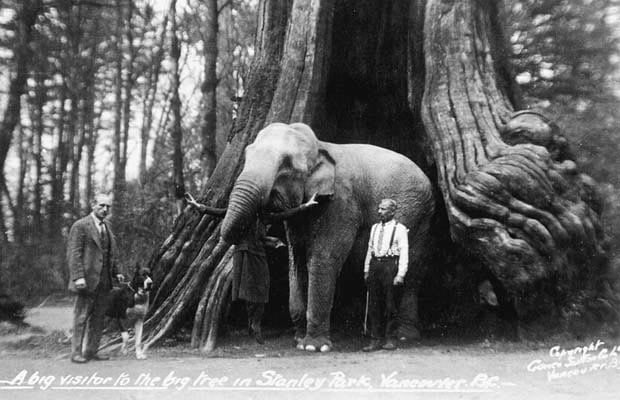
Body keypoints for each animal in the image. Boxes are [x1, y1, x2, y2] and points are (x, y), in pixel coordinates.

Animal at [220, 122, 434, 354]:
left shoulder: (341, 201)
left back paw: (404, 336)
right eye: (247, 154)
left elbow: (324, 257)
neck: (320, 146)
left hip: (420, 216)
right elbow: (297, 259)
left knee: (412, 270)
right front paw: (299, 340)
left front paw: (314, 346)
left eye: (286, 164)